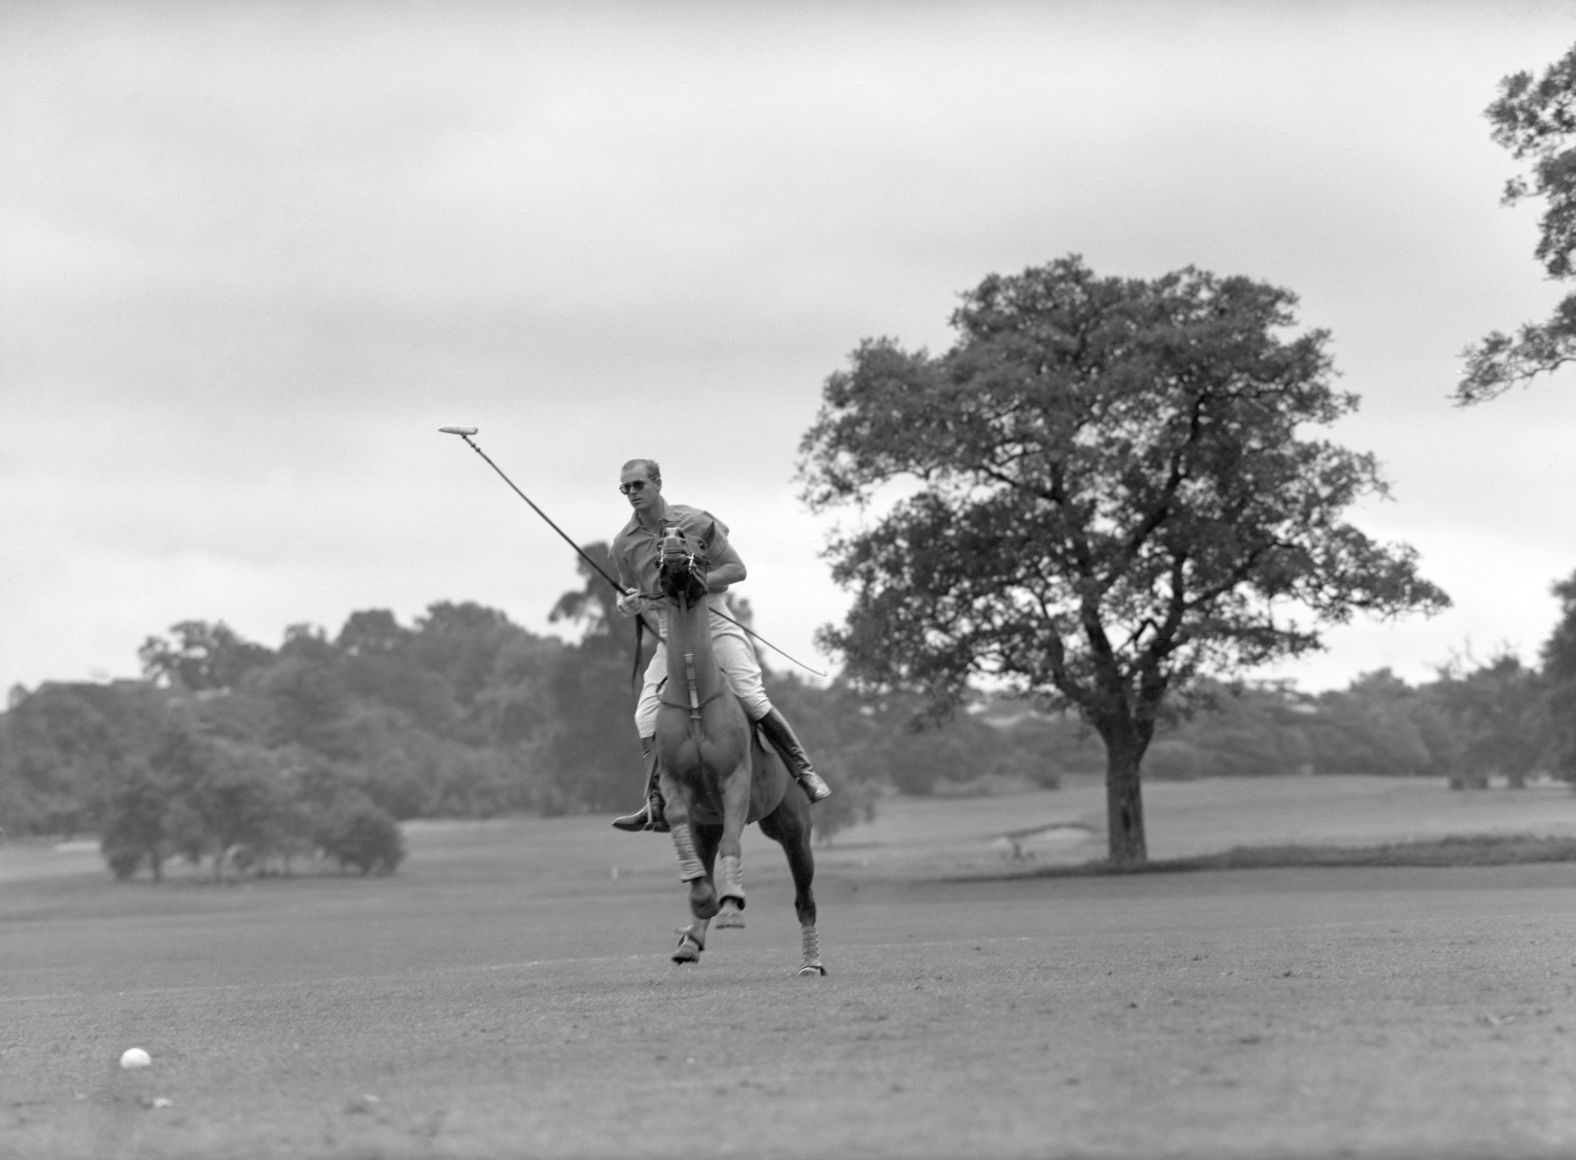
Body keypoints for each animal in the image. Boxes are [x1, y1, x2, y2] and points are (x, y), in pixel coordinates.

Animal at [649, 520, 825, 977]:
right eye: (658, 546)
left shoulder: (735, 782)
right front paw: (702, 899)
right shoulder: (677, 786)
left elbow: (734, 841)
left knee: (804, 898)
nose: (673, 542)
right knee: (704, 851)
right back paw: (691, 939)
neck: (696, 697)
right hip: (708, 824)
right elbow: (680, 825)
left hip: (793, 827)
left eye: (698, 542)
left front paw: (731, 905)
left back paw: (811, 963)